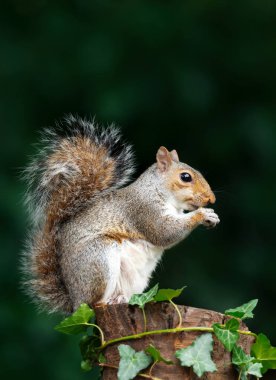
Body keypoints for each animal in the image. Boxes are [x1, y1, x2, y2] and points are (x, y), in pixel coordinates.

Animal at [22, 114, 220, 314]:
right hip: (98, 258)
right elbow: (164, 231)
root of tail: (75, 301)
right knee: (93, 303)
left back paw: (121, 299)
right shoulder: (143, 209)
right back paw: (106, 302)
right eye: (185, 177)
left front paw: (212, 216)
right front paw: (202, 214)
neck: (159, 191)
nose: (211, 199)